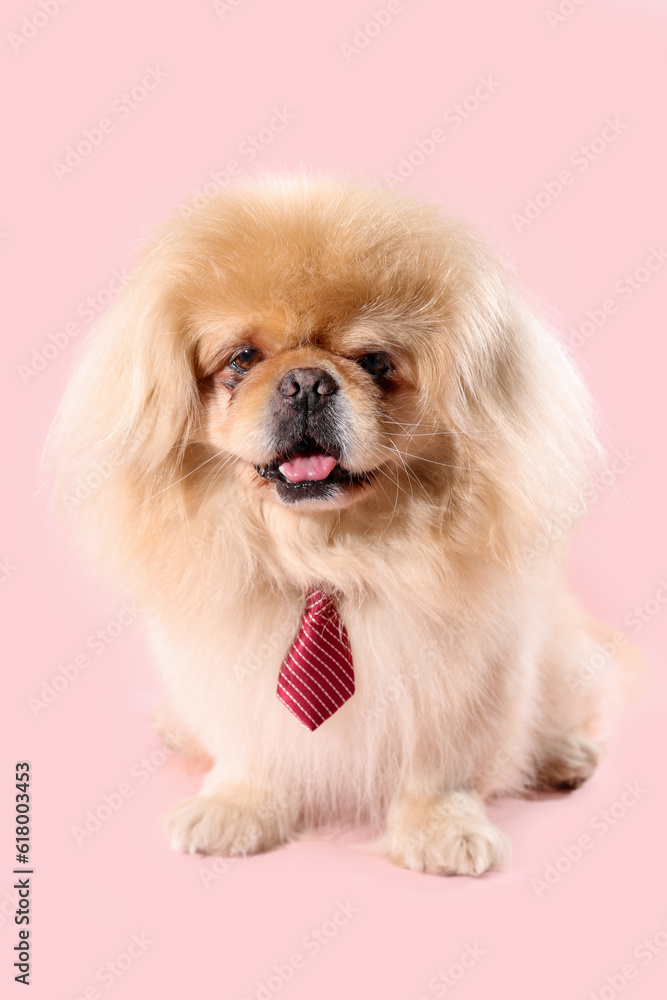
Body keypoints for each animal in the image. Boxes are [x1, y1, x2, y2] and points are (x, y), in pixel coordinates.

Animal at [49, 174, 628, 876]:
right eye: (243, 358)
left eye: (375, 361)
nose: (305, 382)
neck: (327, 554)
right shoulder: (226, 668)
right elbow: (250, 748)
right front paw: (238, 808)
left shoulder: (463, 677)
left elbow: (440, 766)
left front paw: (442, 830)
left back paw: (559, 755)